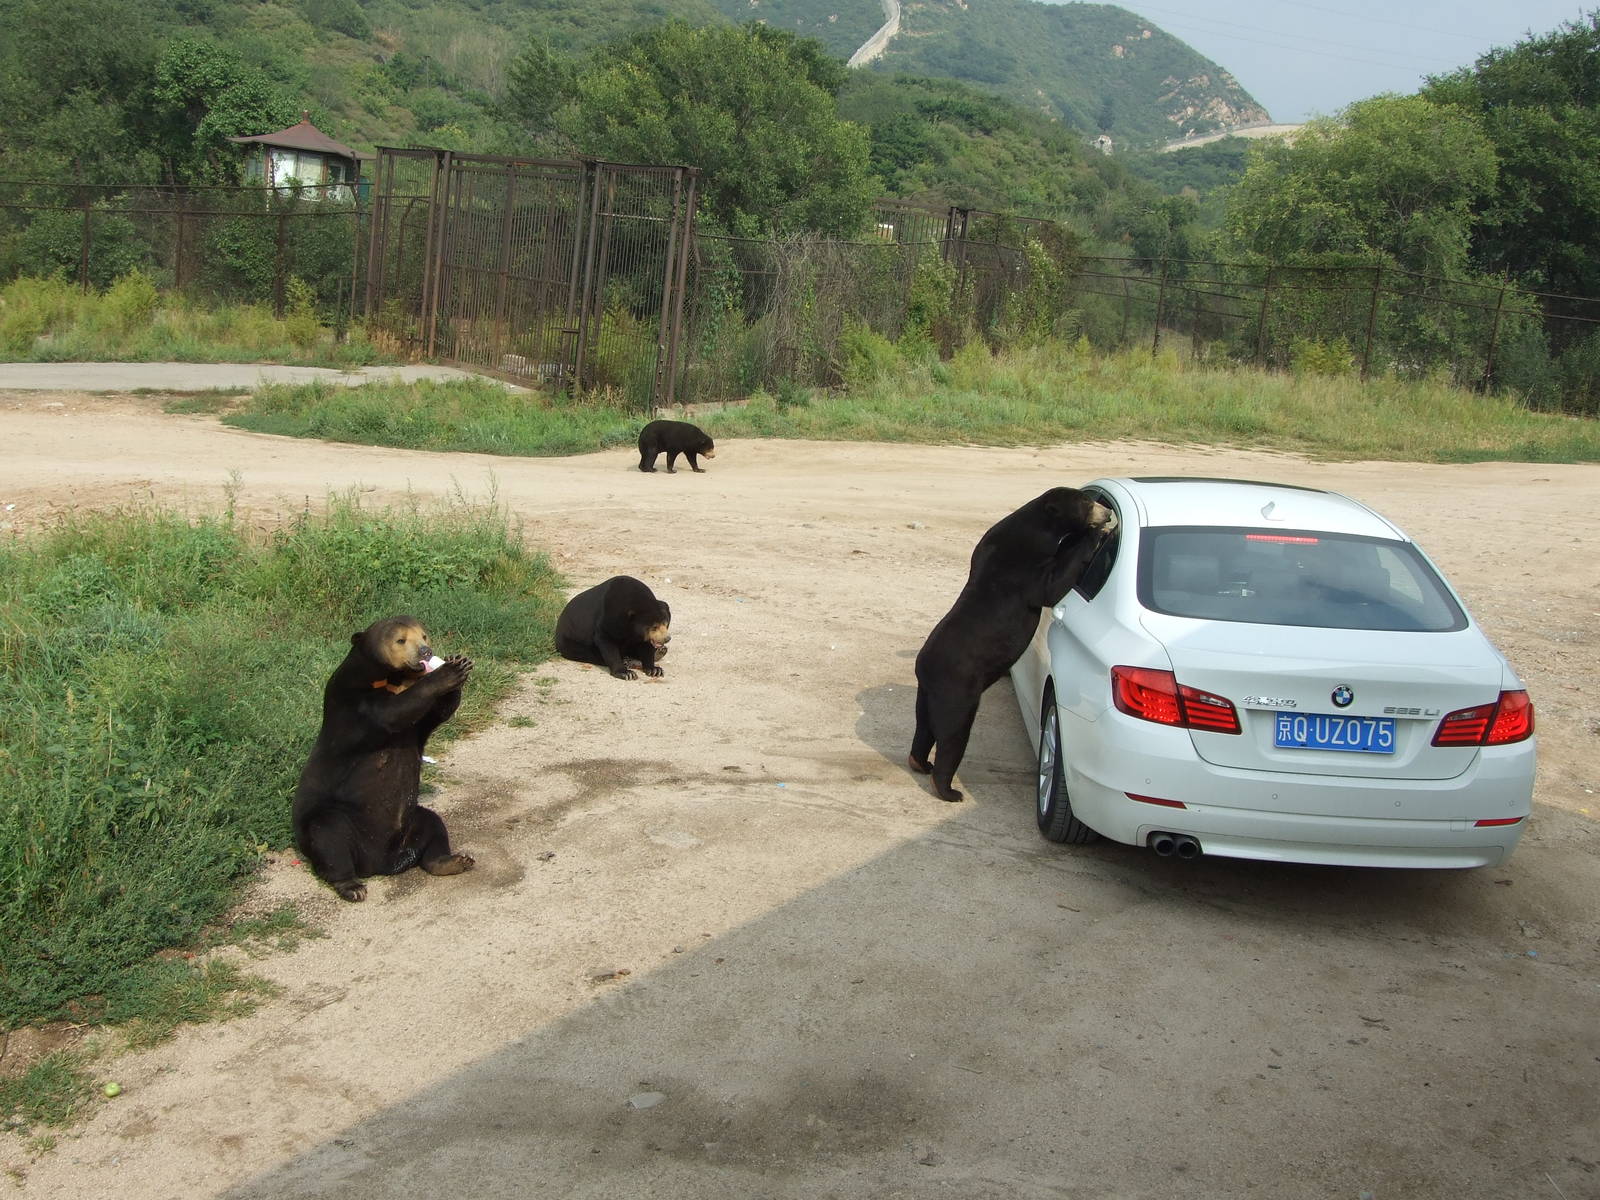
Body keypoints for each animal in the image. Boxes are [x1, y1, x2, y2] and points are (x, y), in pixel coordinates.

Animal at [292, 615, 475, 901]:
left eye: (424, 635)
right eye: (401, 640)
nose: (426, 652)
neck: (394, 677)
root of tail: (382, 863)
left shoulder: (417, 723)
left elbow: (438, 713)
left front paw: (459, 661)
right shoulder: (351, 698)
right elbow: (392, 711)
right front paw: (449, 671)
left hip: (411, 823)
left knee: (433, 827)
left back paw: (453, 861)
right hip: (340, 818)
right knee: (329, 838)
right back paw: (351, 886)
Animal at [908, 488, 1117, 802]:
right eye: (1086, 502)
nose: (1107, 512)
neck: (1036, 530)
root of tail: (924, 669)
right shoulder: (1022, 570)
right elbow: (1051, 586)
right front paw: (1095, 535)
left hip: (927, 694)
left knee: (924, 727)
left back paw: (920, 762)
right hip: (958, 691)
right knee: (953, 736)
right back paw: (948, 789)